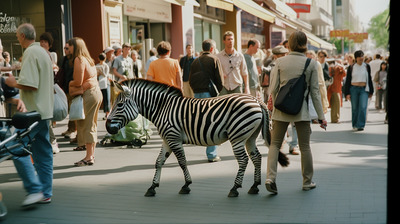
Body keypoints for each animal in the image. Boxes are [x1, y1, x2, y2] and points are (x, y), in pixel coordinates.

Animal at [104, 79, 290, 198]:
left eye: (119, 105)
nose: (107, 127)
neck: (162, 108)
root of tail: (257, 101)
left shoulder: (173, 138)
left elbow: (182, 162)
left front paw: (186, 185)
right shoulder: (166, 139)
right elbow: (158, 162)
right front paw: (152, 187)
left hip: (237, 136)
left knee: (243, 160)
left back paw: (235, 188)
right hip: (250, 136)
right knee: (256, 157)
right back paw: (254, 186)